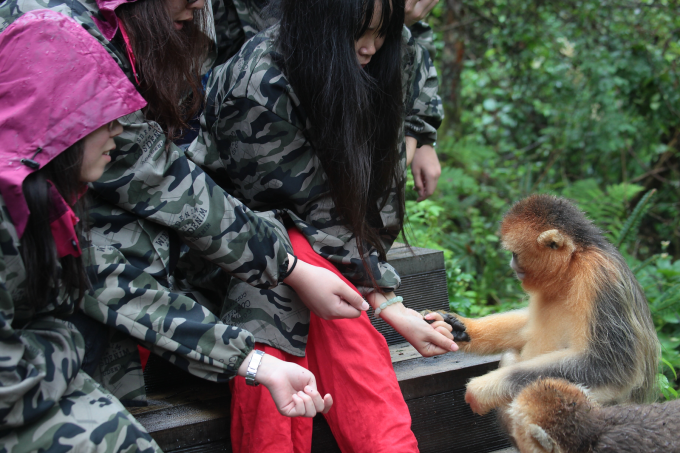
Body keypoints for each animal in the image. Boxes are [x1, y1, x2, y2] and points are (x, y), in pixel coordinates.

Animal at [436, 193, 660, 414]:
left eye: (515, 254)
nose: (511, 264)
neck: (573, 265)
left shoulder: (599, 276)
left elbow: (609, 368)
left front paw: (485, 387)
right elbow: (526, 326)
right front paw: (460, 327)